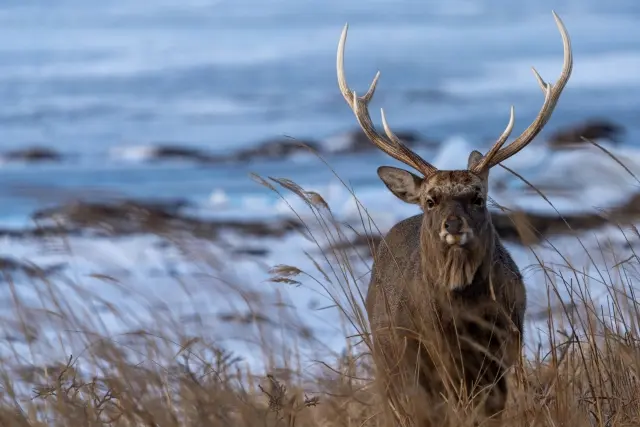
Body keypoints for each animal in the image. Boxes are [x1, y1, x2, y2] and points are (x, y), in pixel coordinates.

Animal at [338, 10, 572, 427]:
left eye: (478, 196)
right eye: (430, 200)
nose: (452, 225)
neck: (461, 319)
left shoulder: (504, 351)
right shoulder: (426, 361)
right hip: (388, 361)